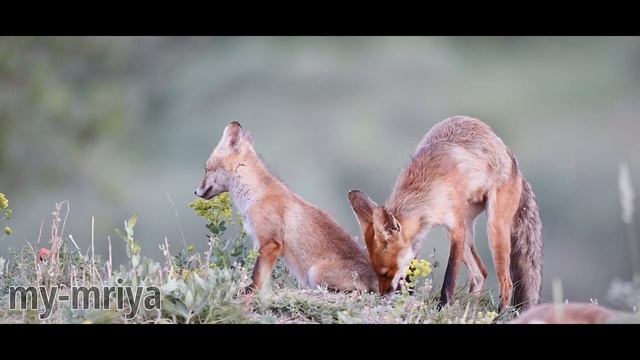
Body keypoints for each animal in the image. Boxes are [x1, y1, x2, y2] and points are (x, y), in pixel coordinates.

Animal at [192, 122, 378, 294]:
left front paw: (250, 292)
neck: (257, 196)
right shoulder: (261, 243)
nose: (195, 191)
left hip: (317, 274)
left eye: (206, 169)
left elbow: (257, 277)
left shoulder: (270, 243)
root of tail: (375, 276)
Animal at [348, 115, 544, 310]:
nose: (382, 298)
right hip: (469, 227)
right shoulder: (418, 237)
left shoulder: (456, 228)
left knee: (507, 284)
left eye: (385, 273)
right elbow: (411, 272)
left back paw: (499, 314)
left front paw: (442, 306)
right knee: (480, 273)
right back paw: (470, 306)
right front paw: (408, 297)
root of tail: (512, 159)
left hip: (494, 229)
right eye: (377, 273)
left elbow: (450, 277)